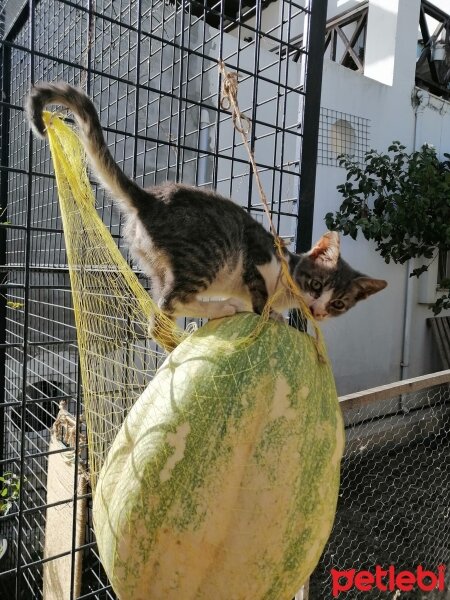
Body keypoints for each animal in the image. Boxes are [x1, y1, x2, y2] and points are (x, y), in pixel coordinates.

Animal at [27, 84, 386, 324]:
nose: (319, 310)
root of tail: (151, 200)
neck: (286, 282)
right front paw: (268, 313)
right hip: (209, 254)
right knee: (171, 300)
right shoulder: (256, 252)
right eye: (316, 284)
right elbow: (259, 293)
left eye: (339, 304)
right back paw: (221, 307)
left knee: (161, 305)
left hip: (156, 263)